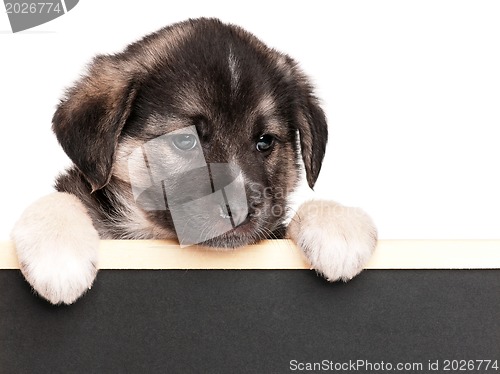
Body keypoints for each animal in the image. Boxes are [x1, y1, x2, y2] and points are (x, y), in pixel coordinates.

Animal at [10, 17, 376, 304]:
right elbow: (61, 200)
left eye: (264, 141)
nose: (239, 210)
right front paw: (58, 253)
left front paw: (339, 228)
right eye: (187, 141)